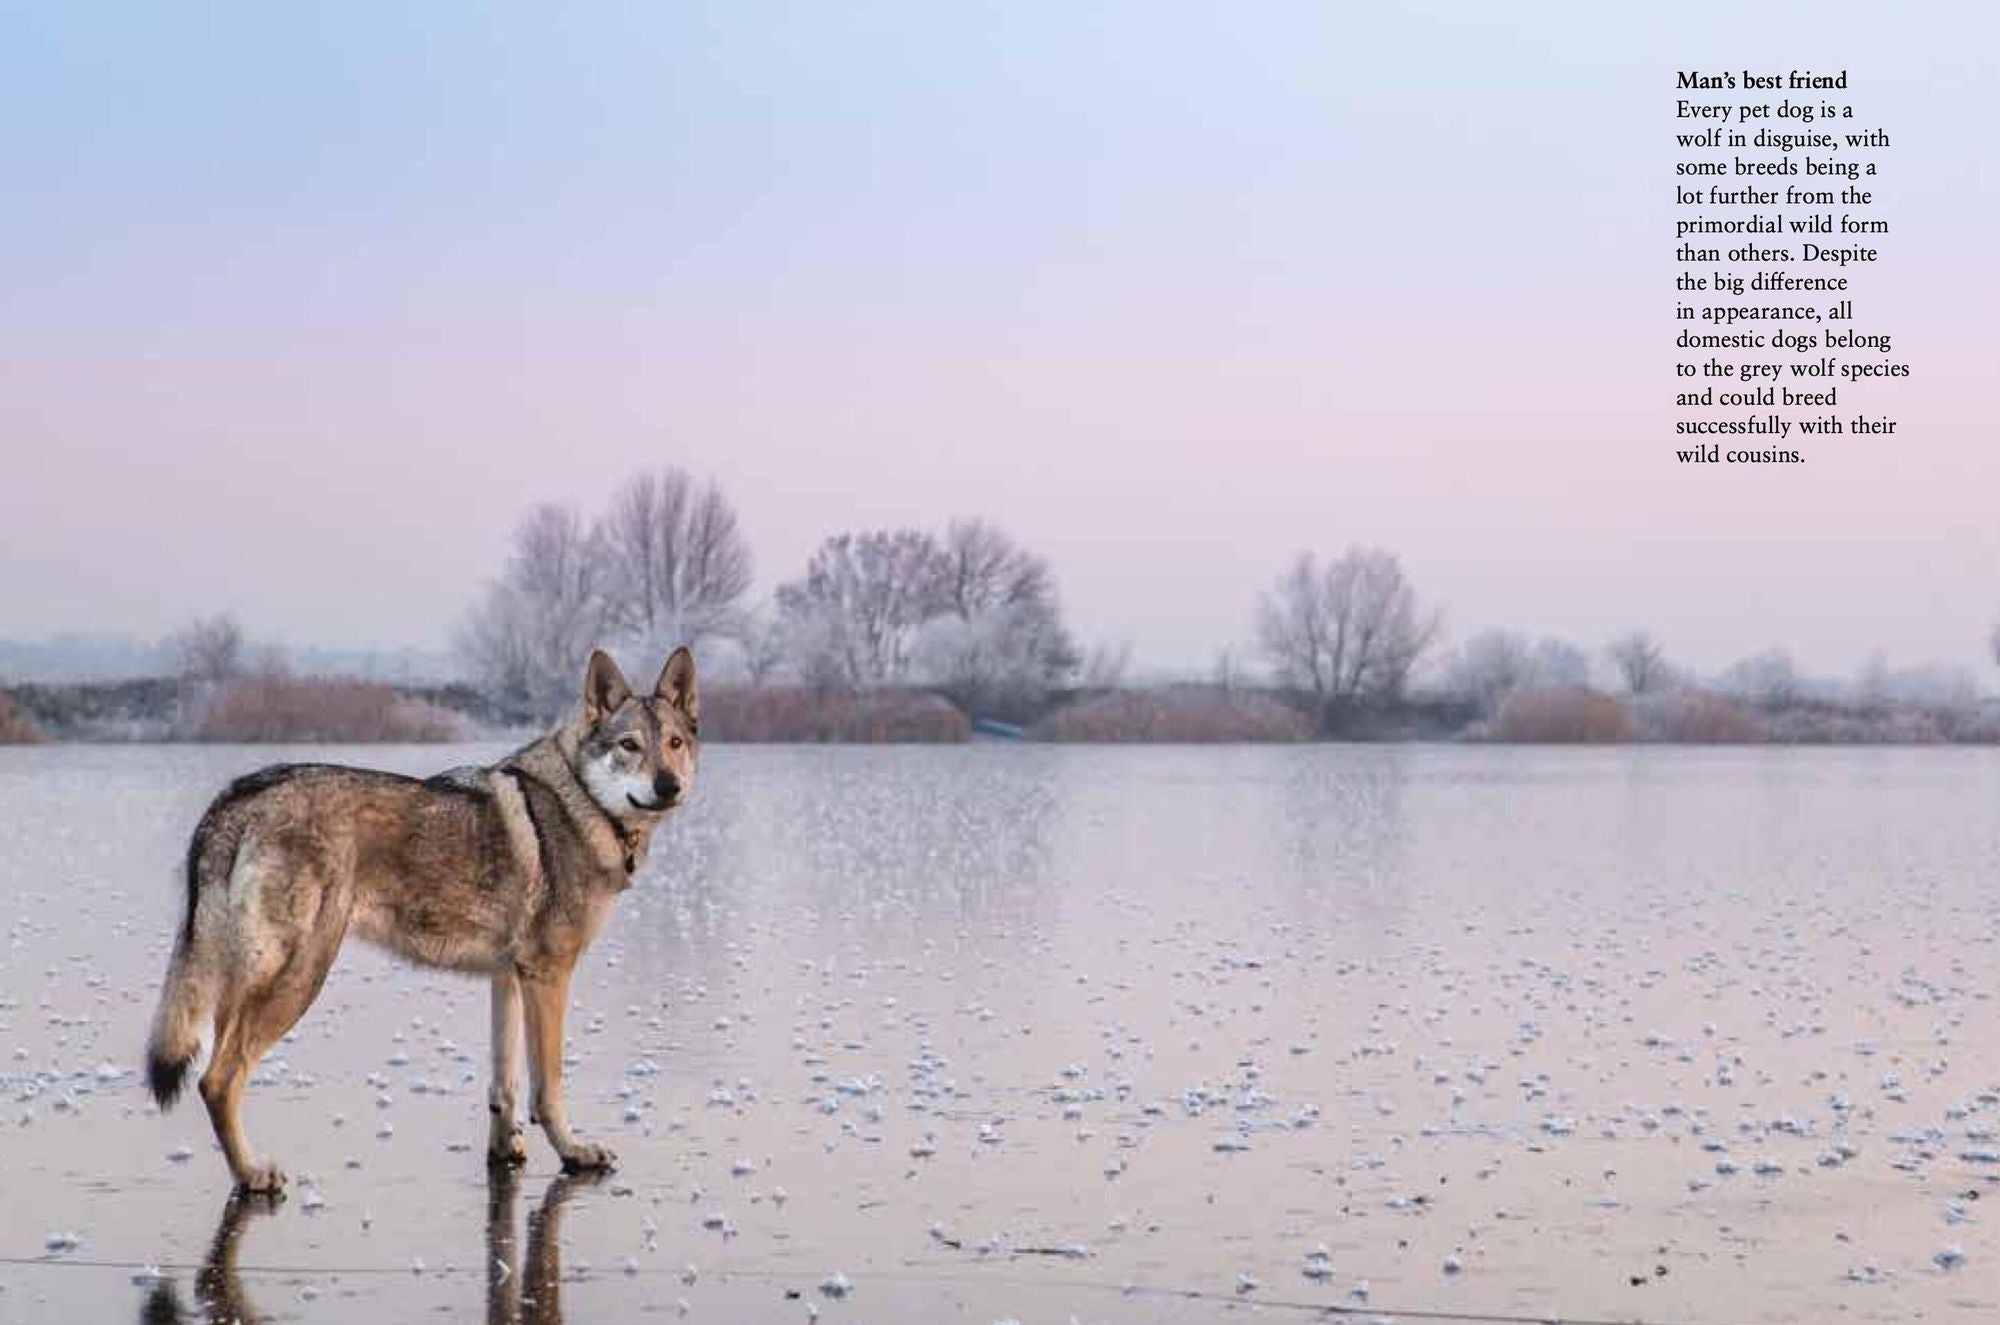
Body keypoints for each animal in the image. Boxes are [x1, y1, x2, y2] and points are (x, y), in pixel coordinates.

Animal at [144, 647, 698, 1192]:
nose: (668, 785)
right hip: (298, 979)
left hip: (248, 981)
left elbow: (503, 1086)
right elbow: (548, 1087)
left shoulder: (508, 976)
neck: (583, 802)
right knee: (217, 1080)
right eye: (629, 745)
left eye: (673, 743)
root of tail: (235, 797)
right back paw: (251, 1174)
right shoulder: (548, 975)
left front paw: (506, 1154)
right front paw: (574, 1152)